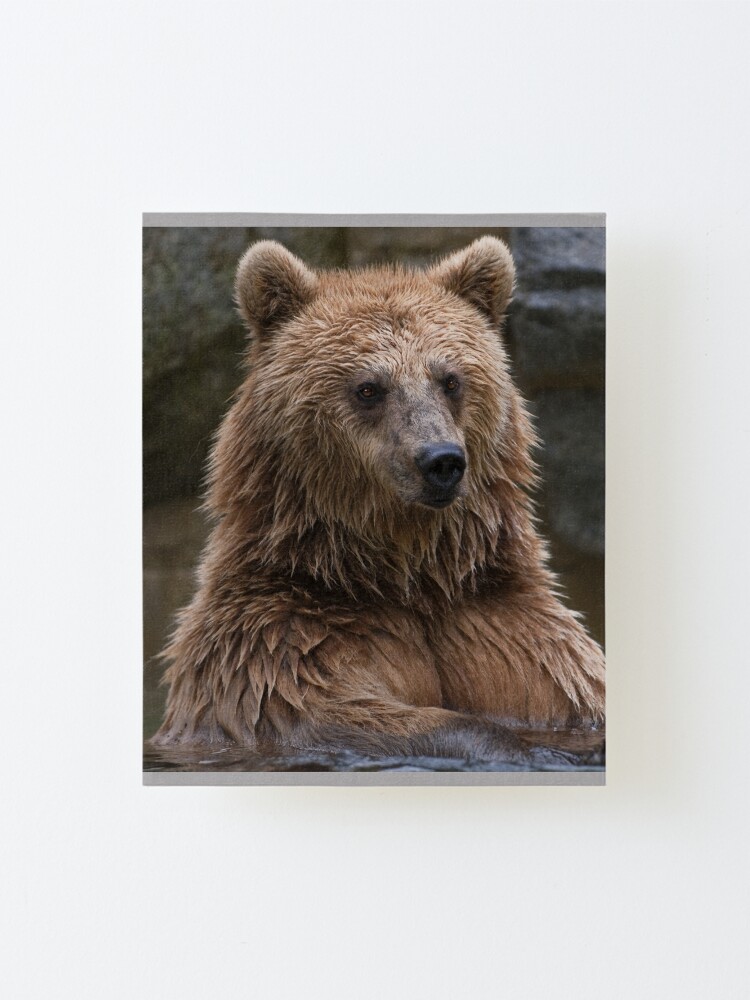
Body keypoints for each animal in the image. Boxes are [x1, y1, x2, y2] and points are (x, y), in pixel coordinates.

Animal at [152, 235, 605, 757]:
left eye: (451, 379)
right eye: (368, 388)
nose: (441, 461)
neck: (402, 575)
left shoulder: (504, 629)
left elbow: (563, 686)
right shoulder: (285, 642)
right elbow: (330, 710)